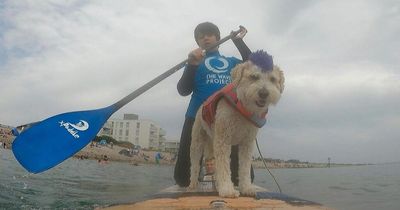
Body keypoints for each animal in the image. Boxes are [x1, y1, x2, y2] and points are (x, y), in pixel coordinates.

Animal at [188, 50, 284, 198]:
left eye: (273, 79)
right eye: (254, 76)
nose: (264, 93)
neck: (242, 107)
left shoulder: (247, 143)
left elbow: (244, 168)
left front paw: (246, 188)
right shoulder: (223, 140)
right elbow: (223, 166)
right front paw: (227, 189)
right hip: (197, 140)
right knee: (195, 164)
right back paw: (192, 184)